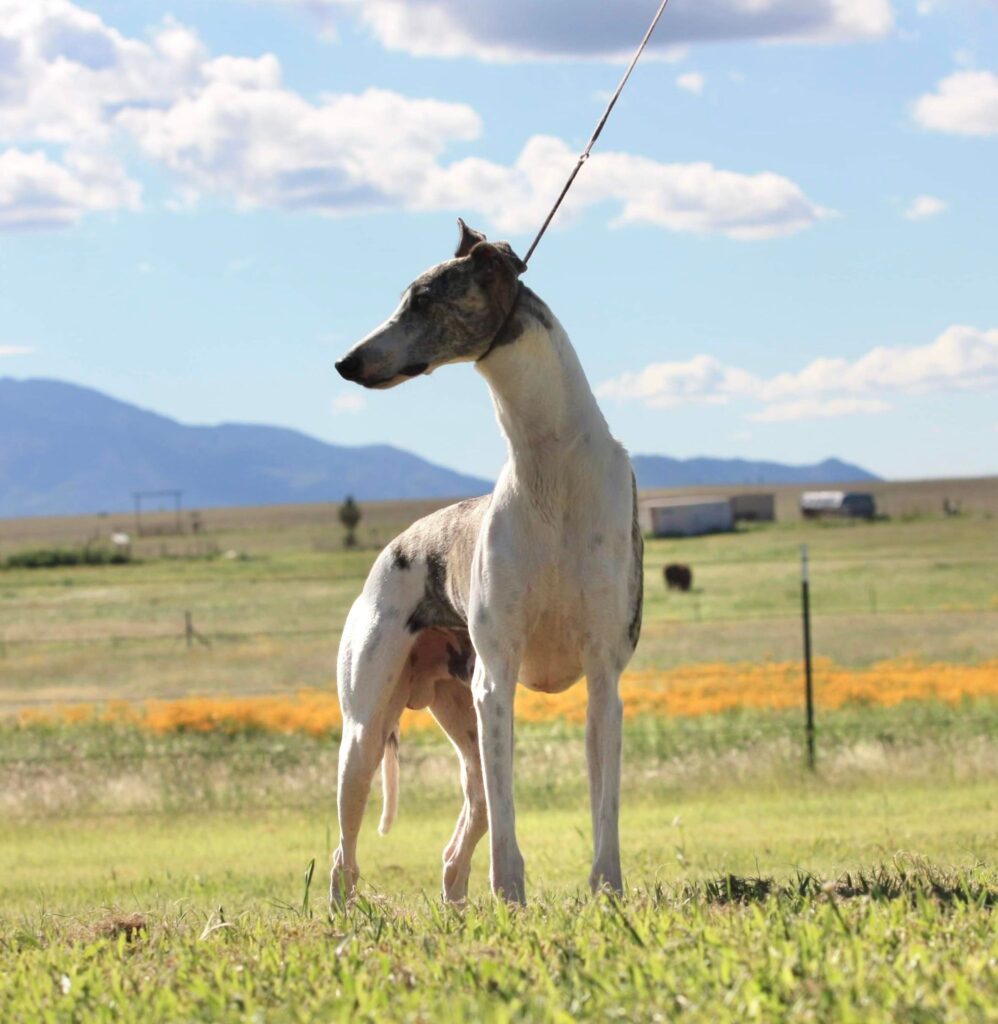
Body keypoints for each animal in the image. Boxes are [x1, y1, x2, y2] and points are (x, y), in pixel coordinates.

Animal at [331, 220, 642, 901]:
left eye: (424, 300)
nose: (345, 362)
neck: (550, 461)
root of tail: (394, 549)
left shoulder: (604, 679)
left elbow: (605, 804)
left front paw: (606, 892)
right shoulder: (496, 681)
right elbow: (508, 815)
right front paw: (513, 898)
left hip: (459, 722)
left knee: (456, 846)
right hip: (367, 729)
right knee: (346, 854)